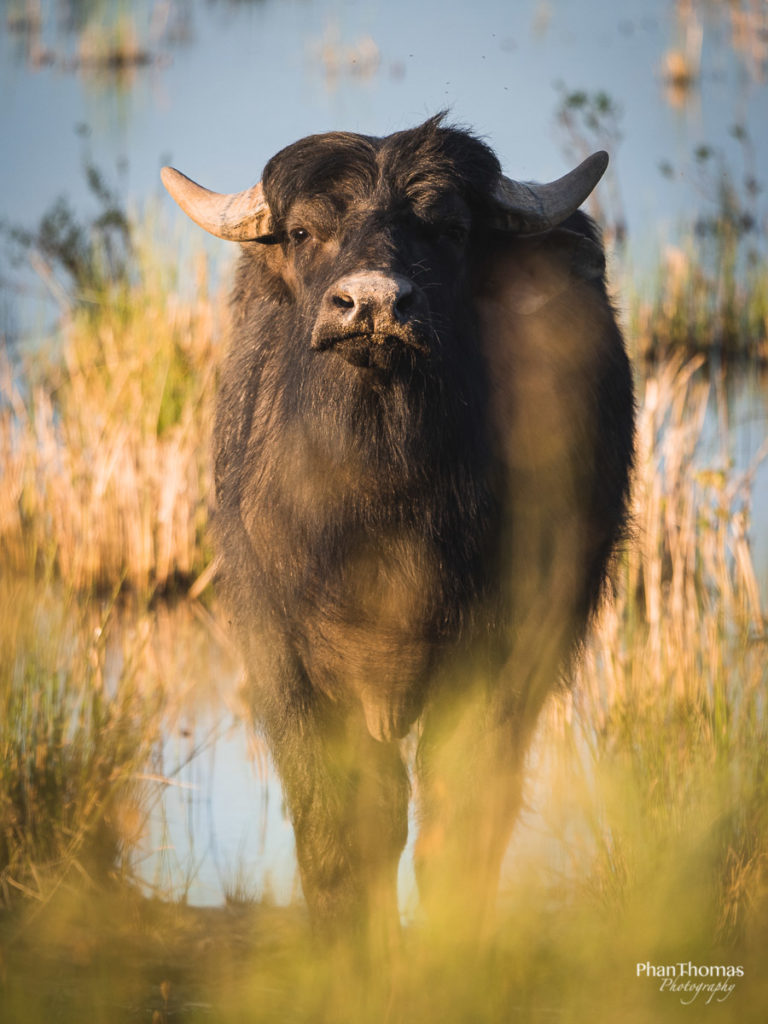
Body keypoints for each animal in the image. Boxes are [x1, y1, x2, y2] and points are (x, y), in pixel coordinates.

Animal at [160, 116, 630, 946]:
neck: (384, 506)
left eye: (450, 229)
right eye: (305, 230)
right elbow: (344, 824)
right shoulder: (286, 662)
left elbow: (461, 815)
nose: (372, 305)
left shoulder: (503, 656)